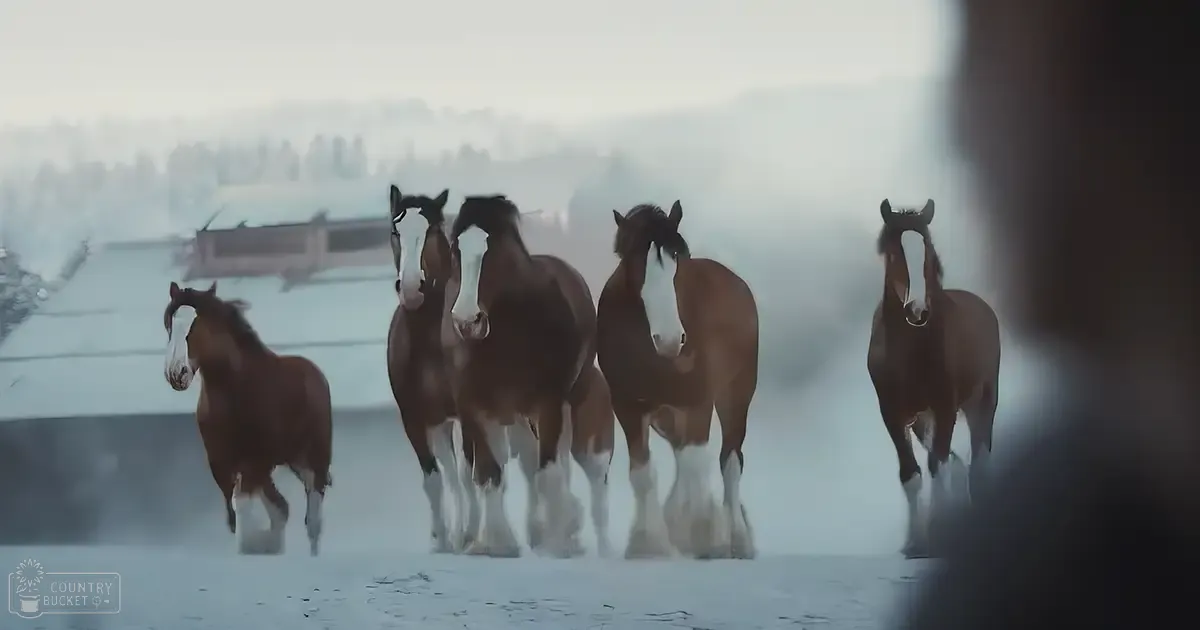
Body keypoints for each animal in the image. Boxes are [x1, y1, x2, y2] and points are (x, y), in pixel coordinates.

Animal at [163, 281, 332, 556]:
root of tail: (315, 373)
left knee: (313, 520)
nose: (176, 373)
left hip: (312, 460)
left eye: (197, 325)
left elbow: (244, 515)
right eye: (169, 323)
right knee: (281, 510)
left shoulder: (255, 461)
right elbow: (238, 518)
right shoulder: (221, 464)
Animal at [386, 185, 479, 553]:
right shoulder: (414, 418)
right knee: (450, 475)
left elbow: (469, 475)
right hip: (440, 424)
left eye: (432, 232)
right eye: (395, 231)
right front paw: (442, 538)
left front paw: (471, 534)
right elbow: (435, 480)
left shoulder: (468, 413)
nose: (412, 288)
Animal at [442, 194, 597, 558]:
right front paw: (498, 543)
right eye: (456, 250)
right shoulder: (474, 408)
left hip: (569, 399)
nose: (467, 320)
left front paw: (558, 543)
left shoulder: (549, 404)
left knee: (558, 462)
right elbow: (489, 474)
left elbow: (549, 471)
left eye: (492, 251)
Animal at [597, 201, 759, 560]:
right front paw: (648, 544)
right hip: (668, 414)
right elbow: (643, 473)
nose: (671, 340)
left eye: (676, 262)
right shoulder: (628, 407)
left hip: (735, 396)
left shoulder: (698, 400)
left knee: (729, 462)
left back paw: (736, 539)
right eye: (635, 263)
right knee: (684, 460)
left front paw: (706, 538)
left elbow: (700, 464)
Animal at [866, 198, 1001, 559]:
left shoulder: (945, 406)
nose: (918, 310)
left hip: (982, 402)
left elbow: (938, 466)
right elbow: (911, 474)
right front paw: (915, 543)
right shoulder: (894, 413)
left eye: (926, 250)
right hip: (922, 419)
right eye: (893, 253)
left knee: (978, 462)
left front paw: (938, 538)